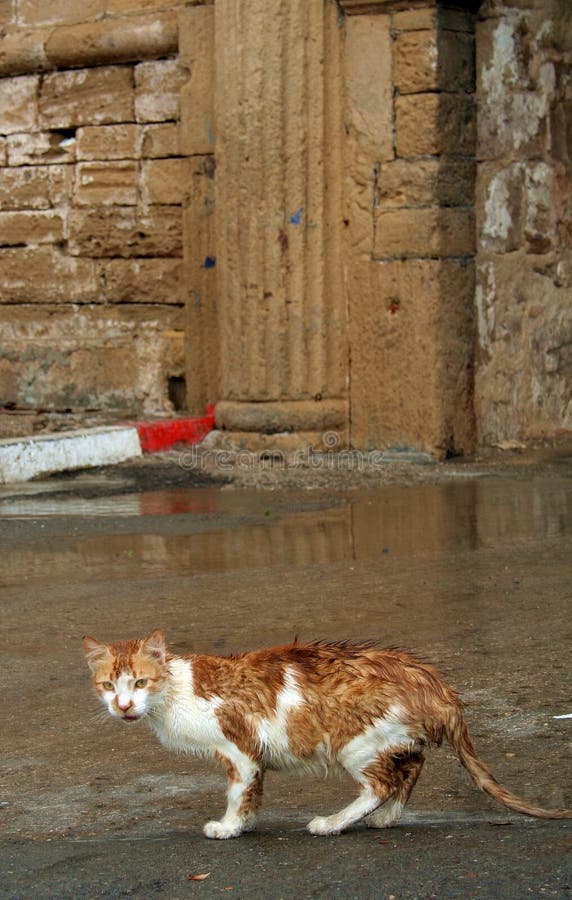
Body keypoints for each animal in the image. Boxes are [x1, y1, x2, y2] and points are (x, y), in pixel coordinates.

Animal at [84, 628, 572, 840]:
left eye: (140, 683)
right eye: (108, 685)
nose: (123, 706)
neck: (176, 692)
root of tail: (432, 679)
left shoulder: (239, 749)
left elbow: (238, 793)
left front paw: (229, 827)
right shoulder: (250, 757)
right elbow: (252, 794)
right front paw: (247, 822)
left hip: (355, 741)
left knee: (382, 783)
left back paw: (334, 823)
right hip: (392, 740)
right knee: (411, 767)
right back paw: (386, 818)